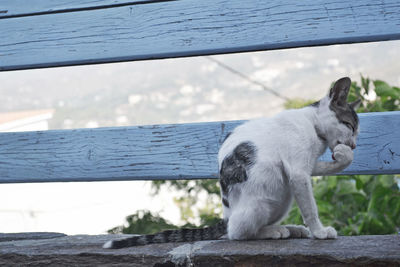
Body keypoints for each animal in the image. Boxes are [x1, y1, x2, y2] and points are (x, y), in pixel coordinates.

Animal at [103, 77, 360, 249]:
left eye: (355, 130)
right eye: (349, 125)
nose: (355, 144)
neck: (312, 125)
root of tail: (227, 213)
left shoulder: (306, 167)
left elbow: (338, 163)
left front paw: (343, 155)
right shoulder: (297, 172)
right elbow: (310, 209)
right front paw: (320, 232)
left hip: (283, 196)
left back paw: (291, 229)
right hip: (261, 201)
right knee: (236, 233)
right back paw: (275, 231)